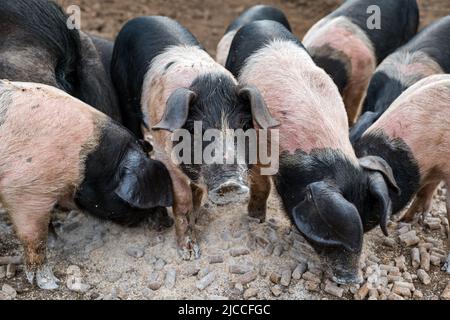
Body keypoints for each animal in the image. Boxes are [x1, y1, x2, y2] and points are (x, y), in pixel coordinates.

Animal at [110, 15, 278, 260]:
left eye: (245, 125)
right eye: (195, 128)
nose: (229, 184)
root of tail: (140, 18)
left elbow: (197, 191)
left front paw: (197, 217)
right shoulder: (165, 154)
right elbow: (182, 200)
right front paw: (189, 253)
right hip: (125, 100)